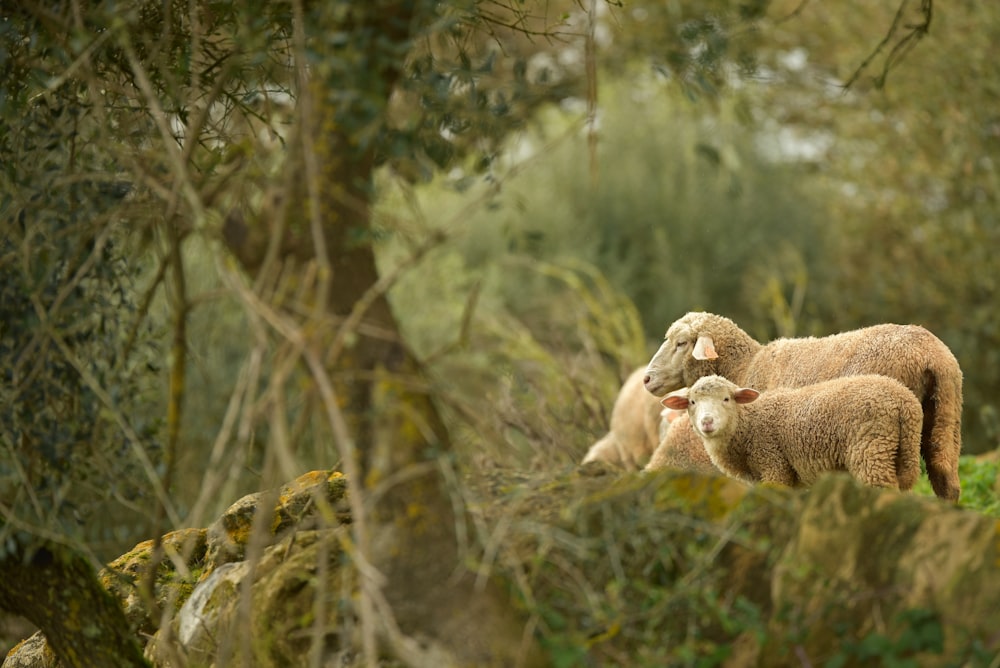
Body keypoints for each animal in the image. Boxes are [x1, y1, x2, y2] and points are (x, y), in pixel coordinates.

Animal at [664, 376, 920, 490]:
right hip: (902, 452)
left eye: (726, 399)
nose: (707, 422)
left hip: (870, 448)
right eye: (692, 402)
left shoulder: (774, 464)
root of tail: (903, 399)